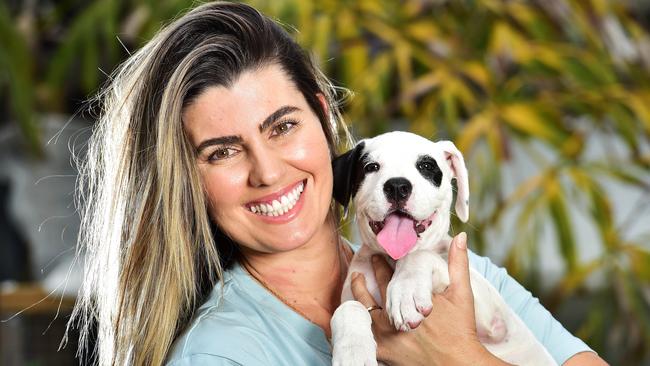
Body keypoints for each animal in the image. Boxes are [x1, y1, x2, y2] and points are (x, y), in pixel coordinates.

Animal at [332, 132, 556, 366]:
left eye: (426, 166)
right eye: (371, 167)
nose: (397, 186)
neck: (394, 259)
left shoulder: (492, 315)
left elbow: (419, 256)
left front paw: (406, 290)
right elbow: (348, 307)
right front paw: (352, 350)